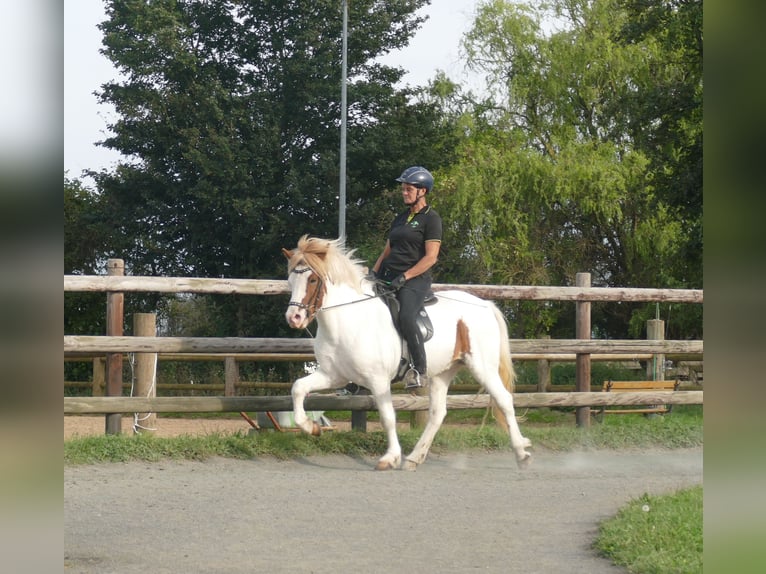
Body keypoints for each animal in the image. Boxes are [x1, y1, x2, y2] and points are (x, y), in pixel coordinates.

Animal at [284, 235, 536, 472]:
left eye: (312, 279)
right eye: (290, 281)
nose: (294, 318)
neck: (347, 321)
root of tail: (485, 305)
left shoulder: (377, 379)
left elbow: (388, 417)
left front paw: (389, 458)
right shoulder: (333, 376)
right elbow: (298, 388)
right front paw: (311, 427)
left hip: (482, 367)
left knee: (504, 400)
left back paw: (521, 454)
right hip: (443, 372)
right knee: (438, 413)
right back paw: (414, 458)